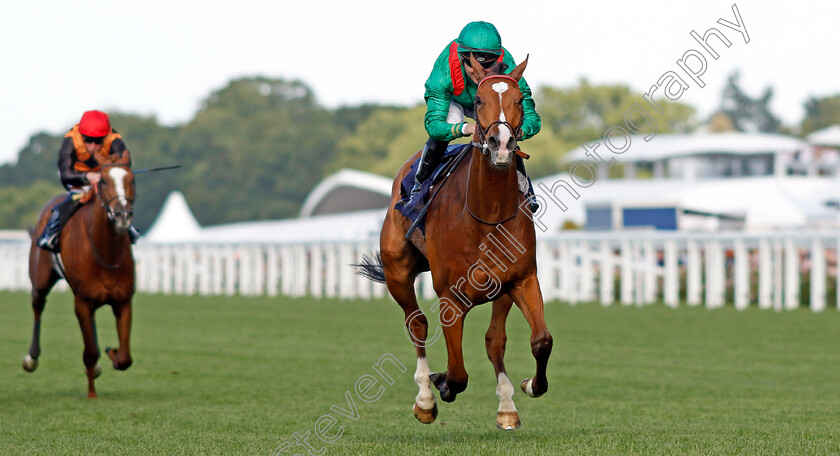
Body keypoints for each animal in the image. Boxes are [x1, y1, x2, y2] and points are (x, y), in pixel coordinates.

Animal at [23, 151, 136, 398]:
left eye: (132, 180)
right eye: (103, 181)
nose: (122, 214)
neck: (105, 251)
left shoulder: (123, 300)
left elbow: (125, 358)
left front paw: (113, 354)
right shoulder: (82, 301)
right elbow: (90, 352)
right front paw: (91, 394)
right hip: (40, 279)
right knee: (37, 306)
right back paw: (31, 358)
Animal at [360, 55, 552, 430]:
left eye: (519, 101)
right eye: (478, 101)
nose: (501, 144)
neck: (487, 213)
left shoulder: (522, 279)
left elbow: (540, 341)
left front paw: (528, 386)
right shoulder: (450, 296)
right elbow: (458, 373)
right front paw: (440, 384)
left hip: (501, 290)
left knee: (495, 340)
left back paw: (506, 406)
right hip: (397, 272)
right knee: (417, 323)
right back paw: (425, 399)